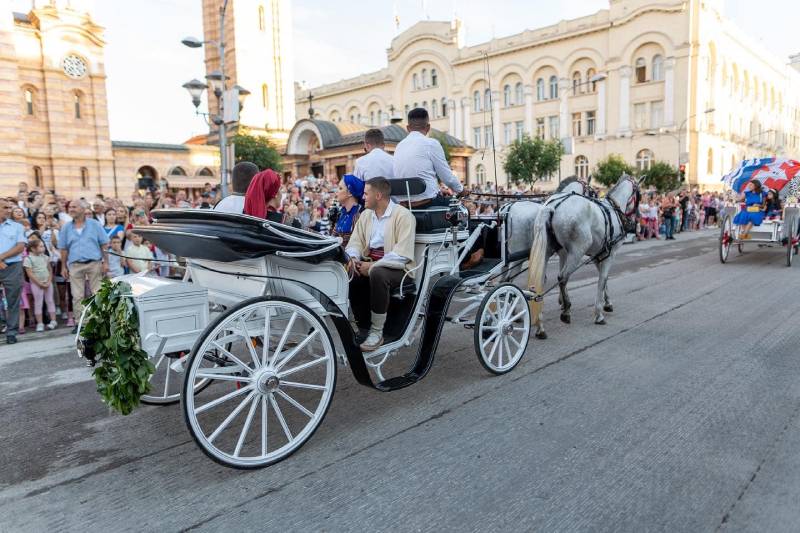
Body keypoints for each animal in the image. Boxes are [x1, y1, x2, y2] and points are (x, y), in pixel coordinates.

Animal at [524, 177, 644, 338]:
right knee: (562, 277)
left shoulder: (597, 255)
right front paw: (599, 313)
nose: (637, 220)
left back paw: (540, 325)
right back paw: (566, 312)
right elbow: (603, 279)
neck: (613, 210)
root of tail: (552, 206)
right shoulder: (609, 254)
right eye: (640, 196)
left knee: (539, 283)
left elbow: (604, 280)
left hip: (546, 252)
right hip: (577, 252)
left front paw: (607, 303)